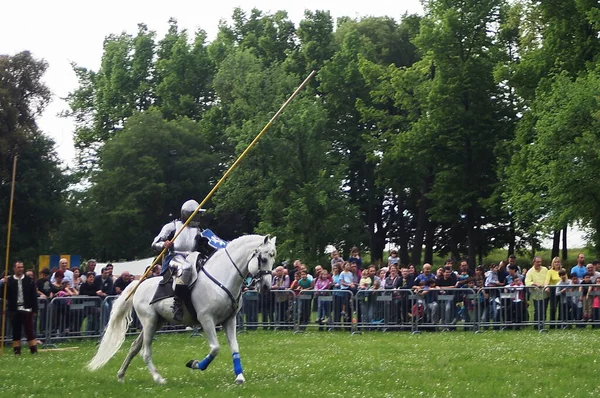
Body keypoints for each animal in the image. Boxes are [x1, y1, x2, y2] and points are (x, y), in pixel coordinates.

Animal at [86, 235, 276, 384]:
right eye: (263, 259)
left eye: (273, 258)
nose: (266, 287)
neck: (221, 279)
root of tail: (139, 284)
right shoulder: (207, 320)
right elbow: (215, 348)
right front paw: (195, 364)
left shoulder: (230, 320)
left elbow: (235, 348)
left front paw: (240, 377)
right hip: (149, 322)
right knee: (145, 352)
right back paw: (158, 378)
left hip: (157, 322)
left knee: (134, 347)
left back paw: (121, 375)